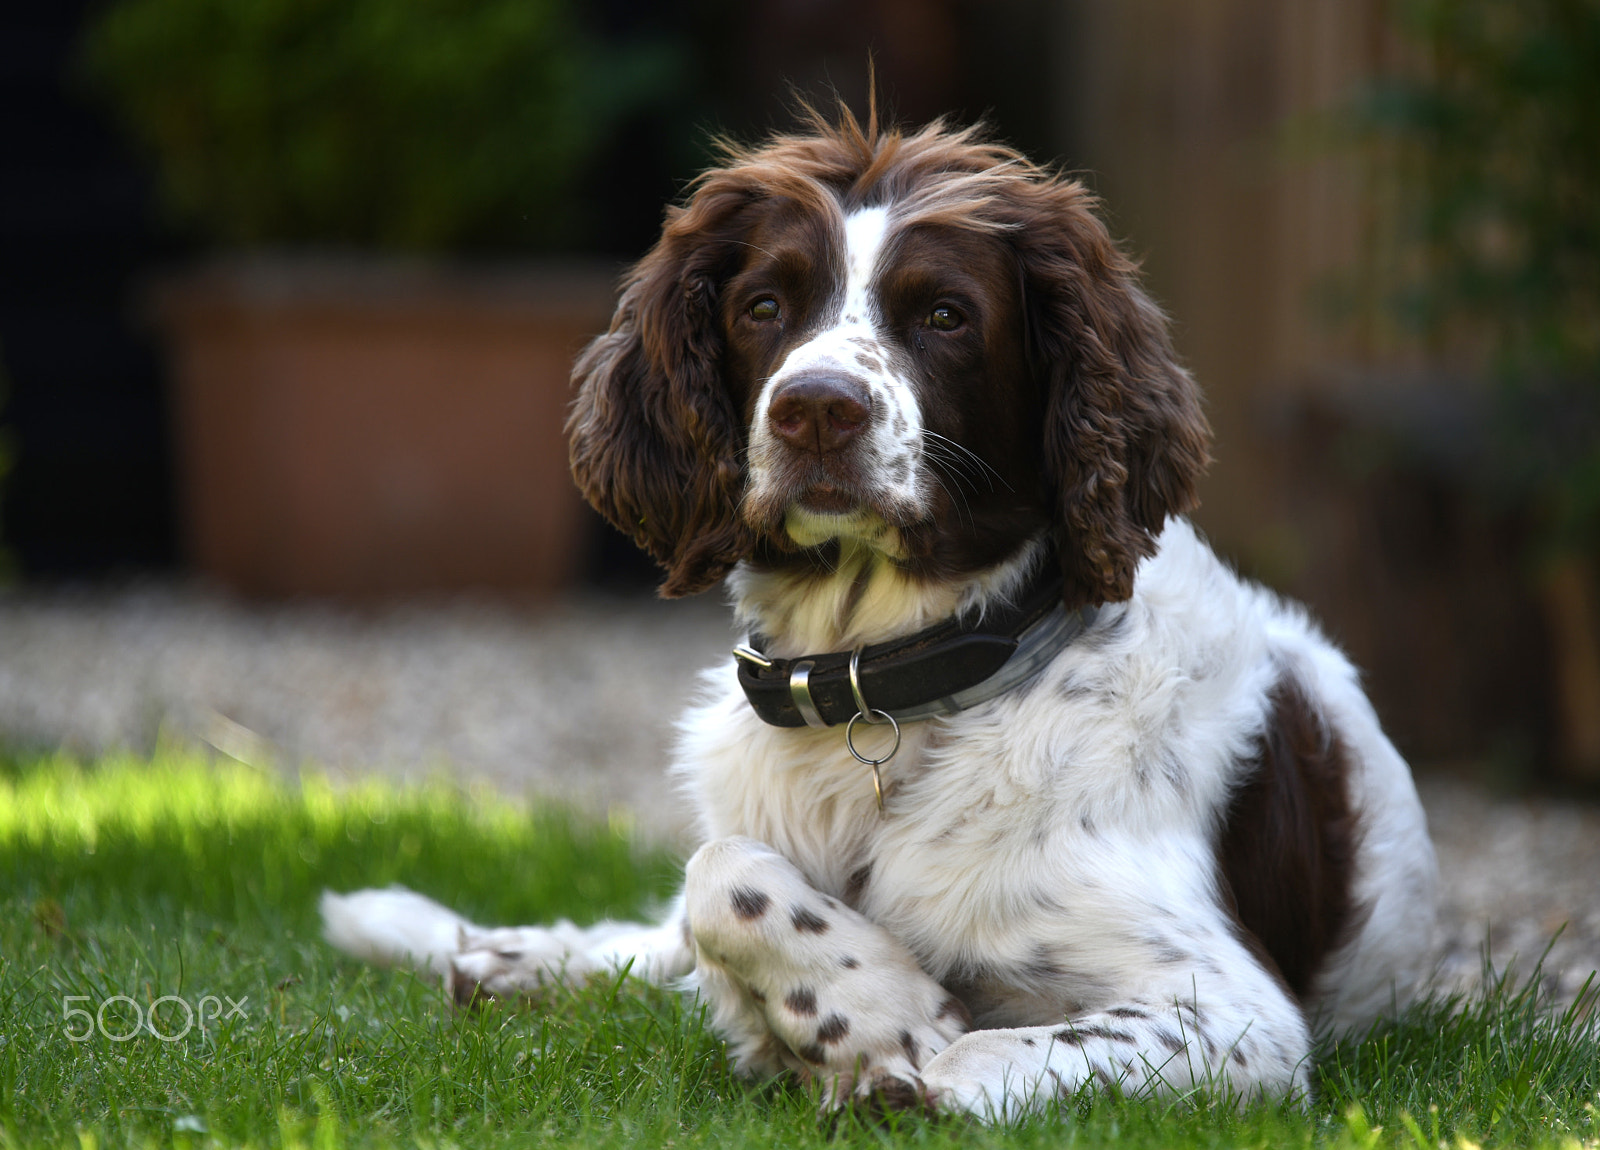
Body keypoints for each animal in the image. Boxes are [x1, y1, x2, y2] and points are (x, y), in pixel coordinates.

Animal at [321, 105, 1440, 1113]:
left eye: (945, 314)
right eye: (764, 306)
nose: (816, 407)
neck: (877, 681)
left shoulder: (1238, 1011)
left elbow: (984, 1045)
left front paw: (900, 1045)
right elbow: (721, 873)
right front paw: (874, 1010)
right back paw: (498, 953)